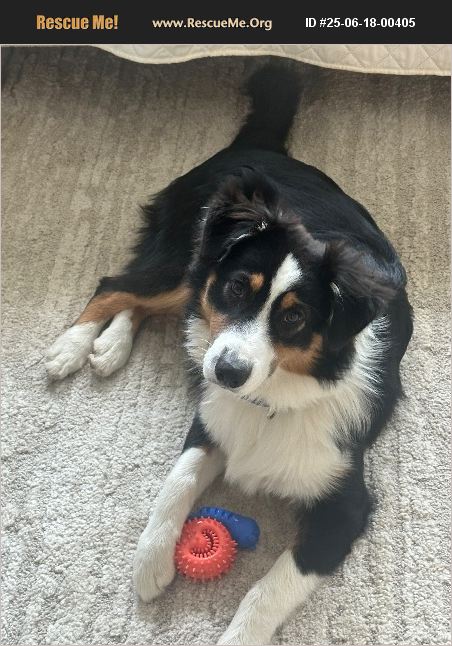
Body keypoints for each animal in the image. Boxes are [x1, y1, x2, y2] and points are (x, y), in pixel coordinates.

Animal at [46, 63, 413, 644]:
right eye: (239, 288)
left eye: (294, 318)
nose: (227, 371)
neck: (271, 402)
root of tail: (257, 149)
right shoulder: (210, 417)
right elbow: (176, 480)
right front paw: (150, 562)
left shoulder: (346, 504)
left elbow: (270, 589)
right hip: (186, 260)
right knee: (119, 287)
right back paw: (72, 346)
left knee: (153, 307)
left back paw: (108, 346)